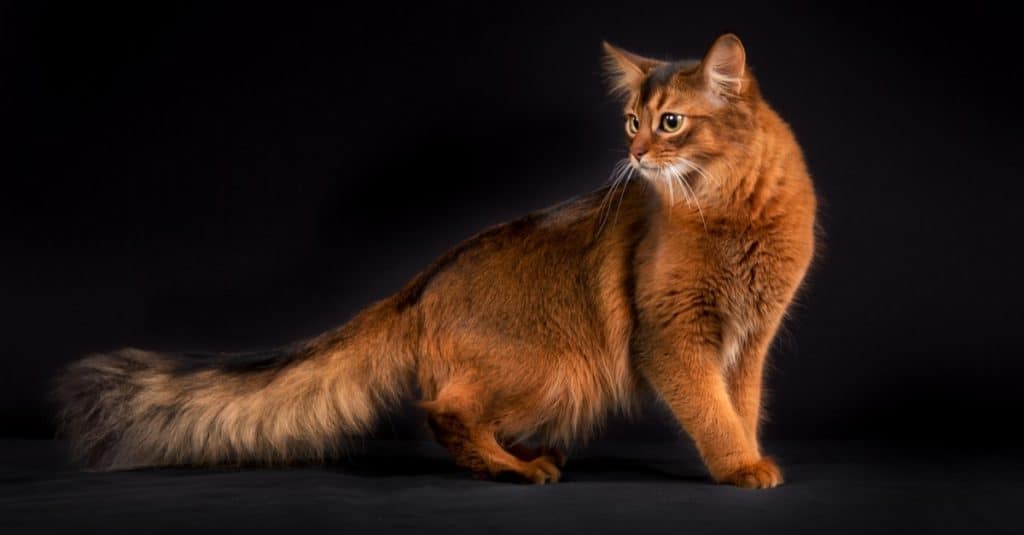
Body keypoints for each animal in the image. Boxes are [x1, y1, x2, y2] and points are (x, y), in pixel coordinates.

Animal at [59, 33, 819, 487]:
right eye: (632, 121)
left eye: (671, 123)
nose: (633, 155)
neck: (734, 208)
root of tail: (418, 284)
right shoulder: (673, 338)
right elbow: (710, 412)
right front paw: (739, 466)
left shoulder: (750, 340)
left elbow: (741, 405)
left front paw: (752, 453)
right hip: (556, 368)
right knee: (443, 410)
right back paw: (515, 467)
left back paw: (521, 454)